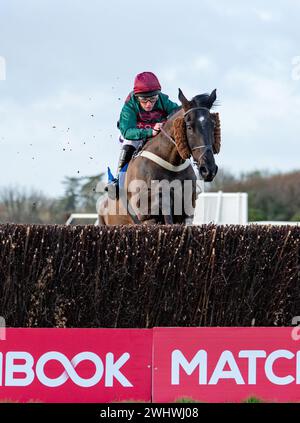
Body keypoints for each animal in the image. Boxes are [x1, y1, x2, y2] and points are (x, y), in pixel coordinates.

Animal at [98, 88, 220, 225]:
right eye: (189, 127)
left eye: (213, 125)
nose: (208, 169)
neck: (171, 164)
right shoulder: (146, 214)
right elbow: (160, 200)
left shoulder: (186, 211)